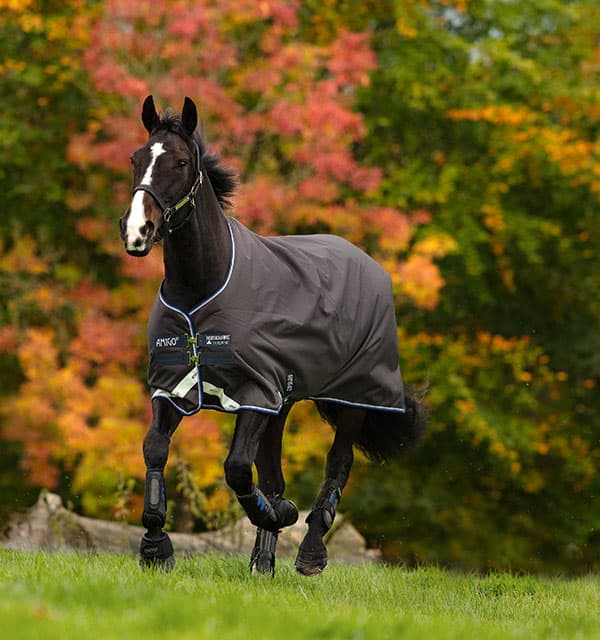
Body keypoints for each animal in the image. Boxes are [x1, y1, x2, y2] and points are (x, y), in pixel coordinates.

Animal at [119, 95, 427, 576]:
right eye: (136, 159)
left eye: (181, 162)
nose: (137, 231)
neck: (202, 288)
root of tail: (367, 261)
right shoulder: (174, 386)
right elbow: (155, 450)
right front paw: (155, 547)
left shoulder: (254, 392)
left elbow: (237, 468)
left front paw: (280, 515)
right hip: (282, 403)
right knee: (273, 472)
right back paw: (263, 560)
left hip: (352, 397)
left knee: (338, 464)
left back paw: (310, 552)